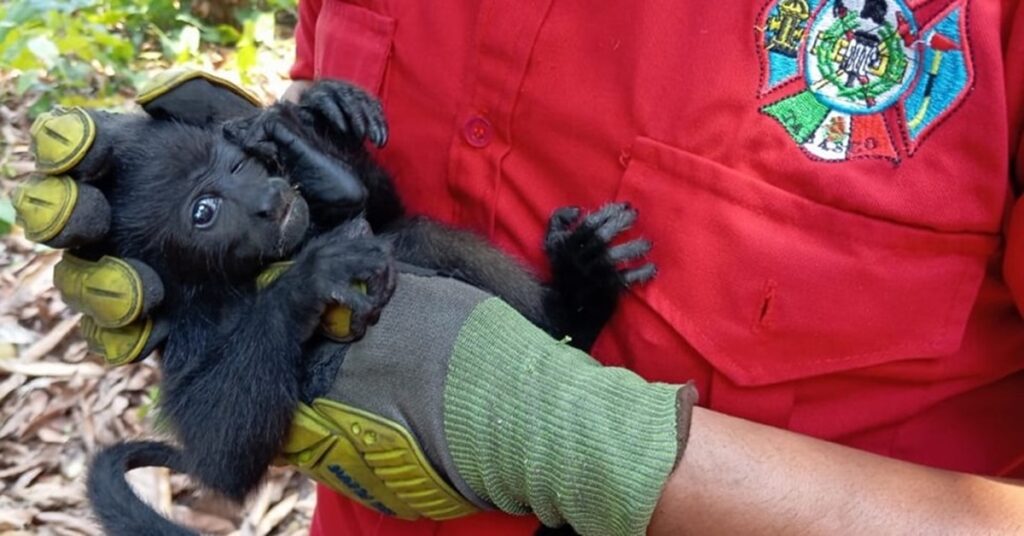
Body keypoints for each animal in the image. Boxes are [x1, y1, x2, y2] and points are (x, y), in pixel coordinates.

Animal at [79, 79, 653, 535]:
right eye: (205, 211)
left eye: (239, 165)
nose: (268, 200)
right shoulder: (193, 327)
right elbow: (221, 455)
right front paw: (309, 280)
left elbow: (384, 213)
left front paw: (313, 122)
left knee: (417, 236)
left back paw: (578, 293)